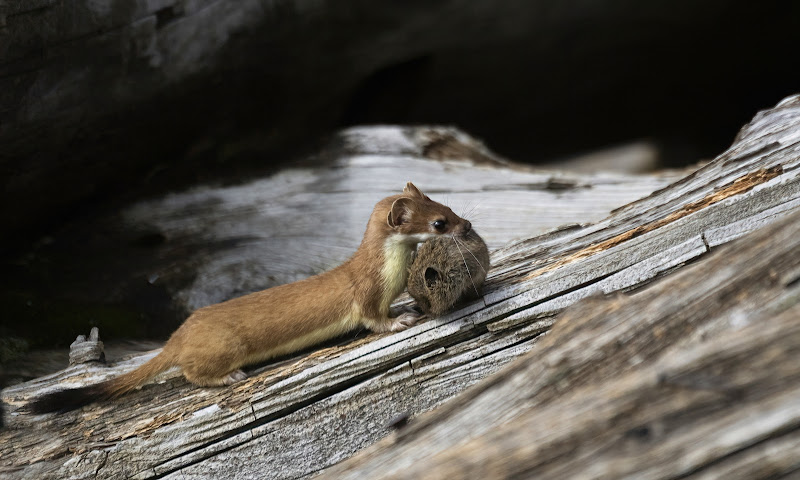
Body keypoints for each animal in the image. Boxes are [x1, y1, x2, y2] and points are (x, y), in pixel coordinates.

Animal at [28, 182, 472, 414]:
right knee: (190, 372)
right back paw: (229, 376)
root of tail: (178, 336)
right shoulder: (365, 294)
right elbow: (372, 319)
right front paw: (401, 319)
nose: (467, 225)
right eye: (439, 222)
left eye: (446, 204)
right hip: (225, 345)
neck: (388, 272)